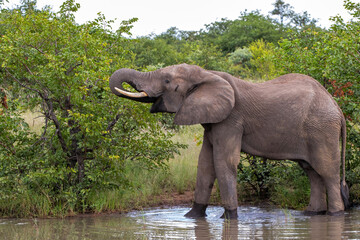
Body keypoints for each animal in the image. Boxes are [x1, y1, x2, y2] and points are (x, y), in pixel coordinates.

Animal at [109, 62, 348, 218]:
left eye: (167, 81)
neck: (207, 74)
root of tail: (337, 108)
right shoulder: (212, 122)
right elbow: (205, 164)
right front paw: (191, 217)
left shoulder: (231, 119)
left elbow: (223, 162)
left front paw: (229, 218)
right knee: (311, 171)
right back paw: (312, 214)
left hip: (322, 129)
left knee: (327, 171)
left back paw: (335, 215)